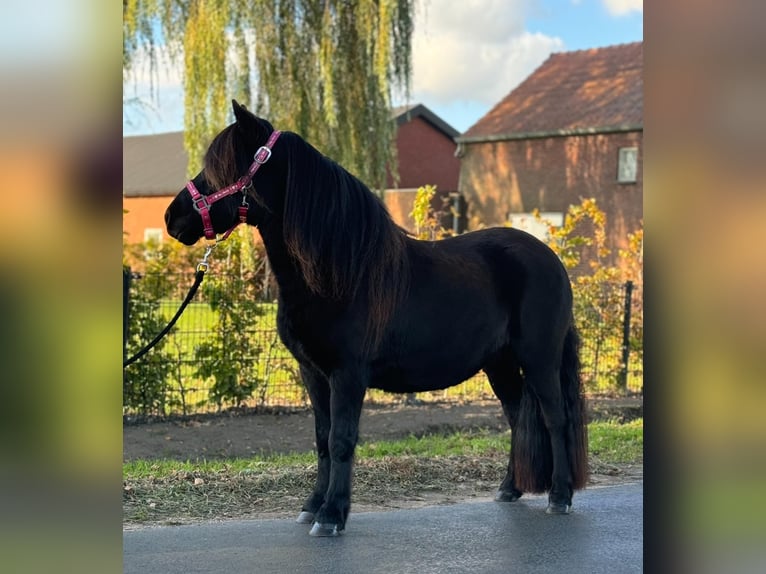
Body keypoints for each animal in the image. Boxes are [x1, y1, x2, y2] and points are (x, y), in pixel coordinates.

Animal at [166, 101, 588, 536]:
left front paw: (332, 515)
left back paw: (560, 496)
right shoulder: (313, 373)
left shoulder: (348, 374)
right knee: (518, 417)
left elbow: (341, 440)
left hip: (539, 359)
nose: (172, 217)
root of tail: (552, 260)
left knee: (555, 418)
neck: (338, 272)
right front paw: (312, 507)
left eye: (223, 168)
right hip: (499, 364)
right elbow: (322, 439)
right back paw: (509, 489)